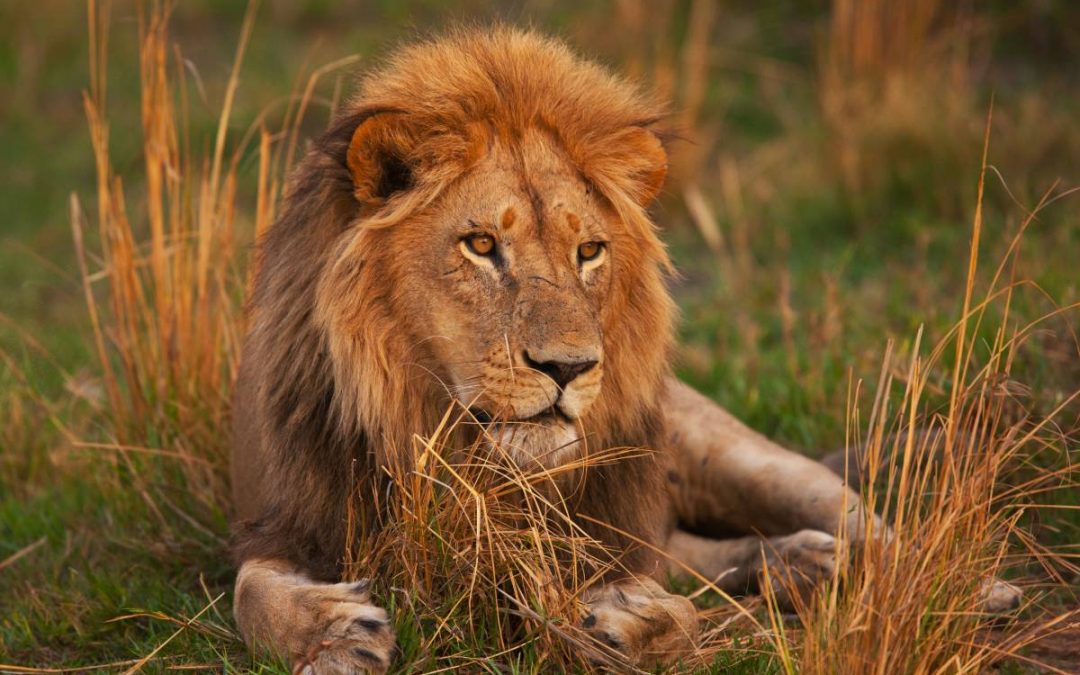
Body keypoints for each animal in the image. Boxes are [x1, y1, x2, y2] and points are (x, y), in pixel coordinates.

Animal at [230, 28, 1019, 673]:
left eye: (589, 252)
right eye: (481, 245)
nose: (570, 367)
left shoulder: (617, 536)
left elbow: (677, 610)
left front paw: (625, 625)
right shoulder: (288, 520)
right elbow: (249, 592)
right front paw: (334, 634)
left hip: (741, 458)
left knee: (868, 525)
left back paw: (963, 587)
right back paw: (805, 563)